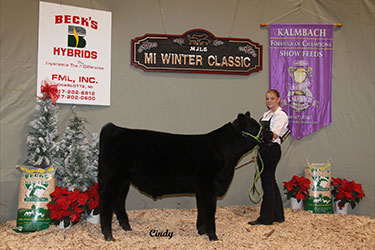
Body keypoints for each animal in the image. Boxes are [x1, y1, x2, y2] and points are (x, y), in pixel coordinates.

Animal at [98, 112, 262, 241]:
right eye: (253, 127)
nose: (267, 133)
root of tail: (115, 128)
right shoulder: (209, 188)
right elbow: (210, 211)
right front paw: (213, 237)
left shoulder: (202, 190)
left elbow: (202, 210)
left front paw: (201, 231)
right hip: (112, 179)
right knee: (106, 203)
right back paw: (109, 236)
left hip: (124, 181)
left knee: (119, 203)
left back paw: (126, 228)